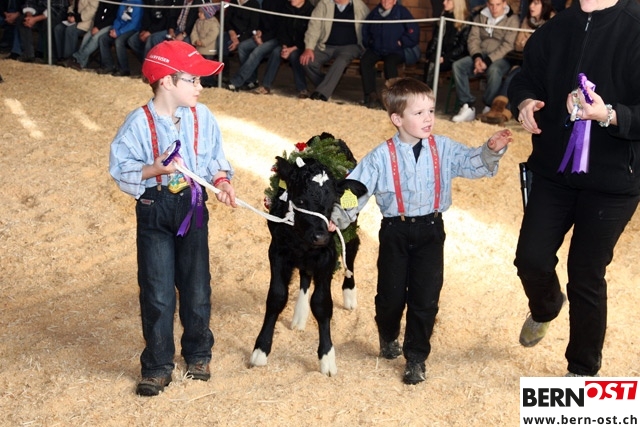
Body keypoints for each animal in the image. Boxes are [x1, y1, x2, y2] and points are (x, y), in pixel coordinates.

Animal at [249, 134, 368, 376]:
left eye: (333, 202)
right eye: (302, 200)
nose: (320, 237)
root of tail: (328, 137)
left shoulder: (327, 255)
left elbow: (322, 304)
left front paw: (327, 358)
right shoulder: (277, 251)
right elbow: (276, 297)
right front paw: (260, 350)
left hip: (351, 227)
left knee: (352, 249)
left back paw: (349, 294)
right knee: (305, 274)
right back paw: (300, 315)